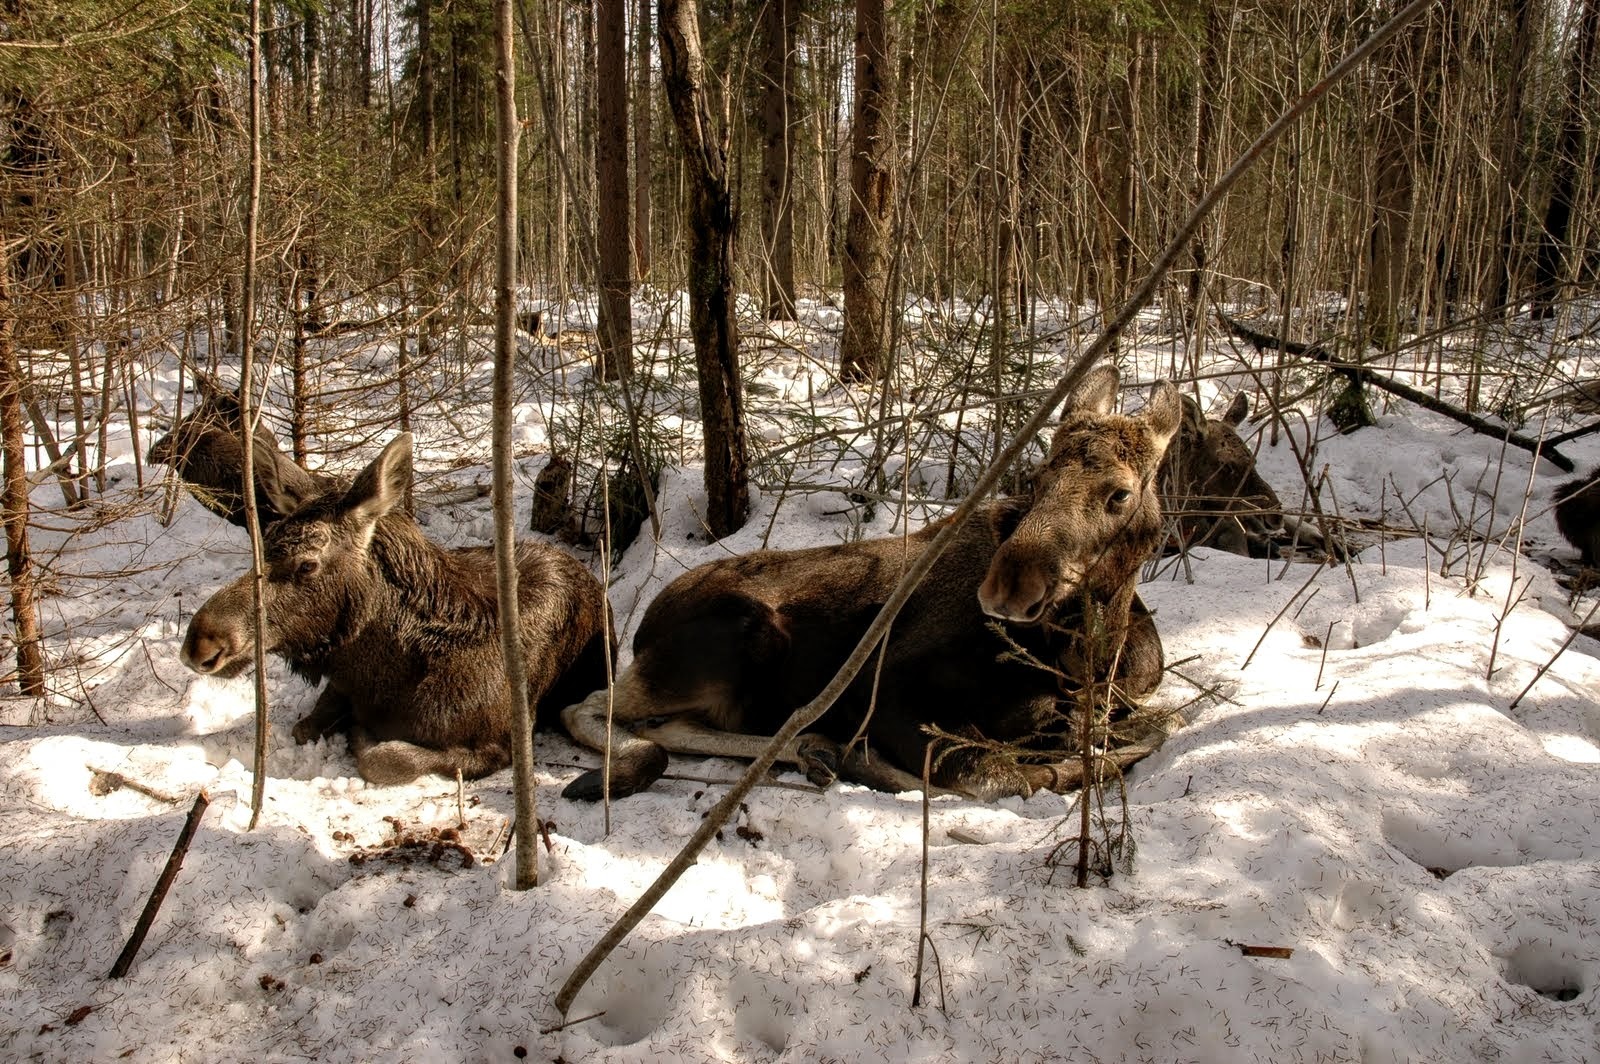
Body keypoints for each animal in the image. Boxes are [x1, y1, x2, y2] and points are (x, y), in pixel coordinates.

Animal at [181, 428, 611, 780]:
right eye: (265, 541)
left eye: (307, 564)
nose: (201, 643)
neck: (384, 670)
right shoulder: (343, 684)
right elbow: (306, 727)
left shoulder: (500, 742)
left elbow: (385, 758)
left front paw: (361, 735)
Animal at [560, 364, 1177, 796]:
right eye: (1038, 476)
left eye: (1120, 493)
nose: (1009, 586)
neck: (1079, 657)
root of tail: (642, 628)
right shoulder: (881, 690)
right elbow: (1002, 776)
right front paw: (868, 760)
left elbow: (1148, 729)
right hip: (739, 636)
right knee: (586, 706)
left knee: (666, 725)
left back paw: (812, 748)